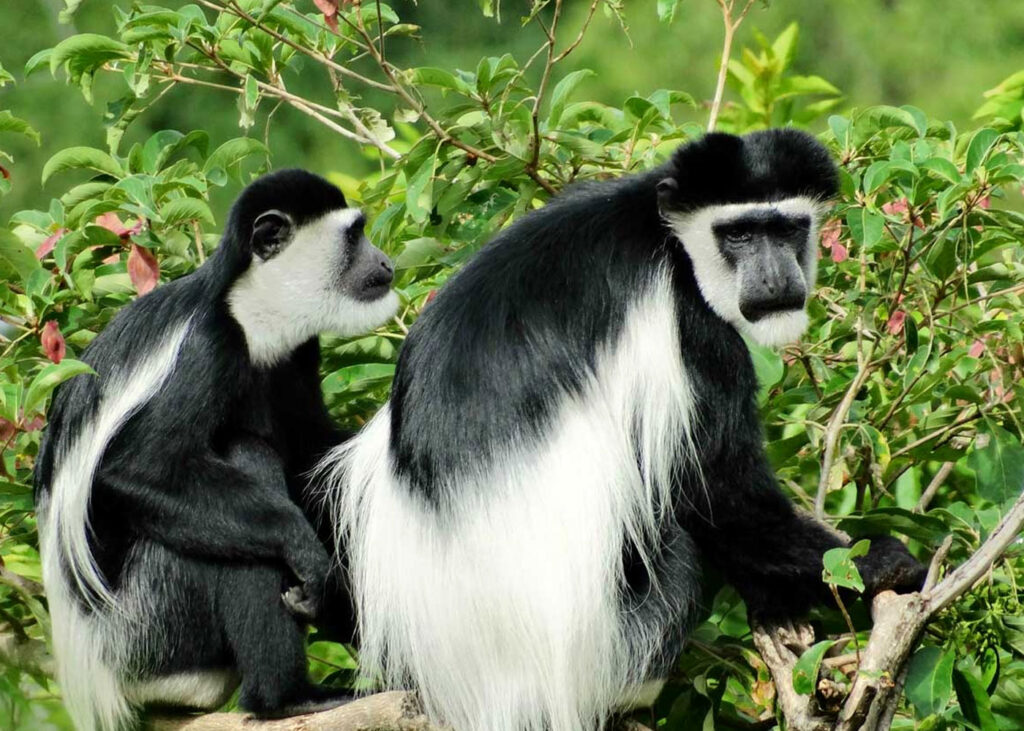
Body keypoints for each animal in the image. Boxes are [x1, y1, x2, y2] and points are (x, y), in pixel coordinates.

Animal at [34, 169, 399, 731]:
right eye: (355, 236)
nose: (385, 263)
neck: (250, 312)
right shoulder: (207, 346)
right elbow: (137, 471)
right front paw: (302, 549)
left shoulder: (296, 352)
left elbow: (314, 457)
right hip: (153, 627)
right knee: (242, 469)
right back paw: (286, 698)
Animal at [320, 130, 926, 731]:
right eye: (738, 234)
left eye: (786, 229)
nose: (776, 278)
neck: (665, 234)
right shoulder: (689, 323)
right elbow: (718, 490)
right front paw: (876, 564)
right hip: (605, 644)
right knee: (675, 546)